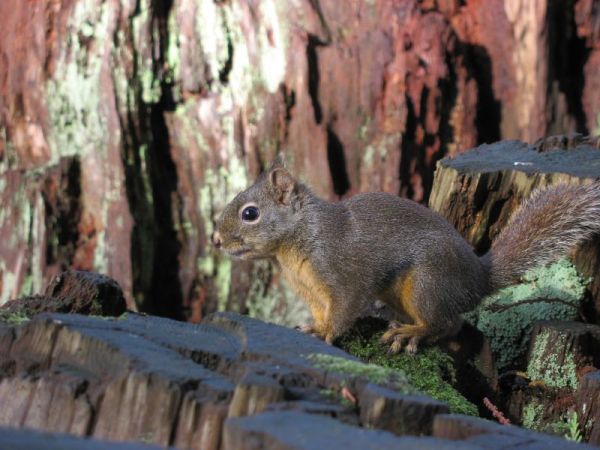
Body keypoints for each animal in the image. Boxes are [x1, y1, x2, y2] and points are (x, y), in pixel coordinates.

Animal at [213, 160, 600, 354]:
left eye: (250, 213)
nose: (216, 240)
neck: (297, 242)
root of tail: (478, 278)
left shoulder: (344, 278)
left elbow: (344, 310)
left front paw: (326, 335)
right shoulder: (312, 292)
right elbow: (323, 313)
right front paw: (314, 327)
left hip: (428, 283)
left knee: (444, 322)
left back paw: (410, 333)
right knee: (453, 325)